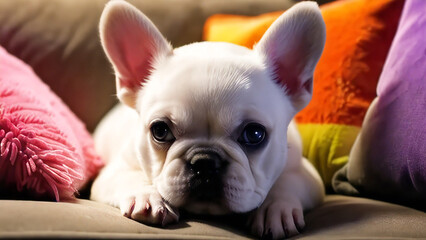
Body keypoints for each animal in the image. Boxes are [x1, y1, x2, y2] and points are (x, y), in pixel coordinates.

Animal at [91, 0, 324, 239]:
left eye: (254, 134)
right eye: (160, 130)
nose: (205, 161)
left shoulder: (306, 175)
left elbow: (286, 183)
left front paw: (273, 208)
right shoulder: (113, 171)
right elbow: (129, 177)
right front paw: (146, 197)